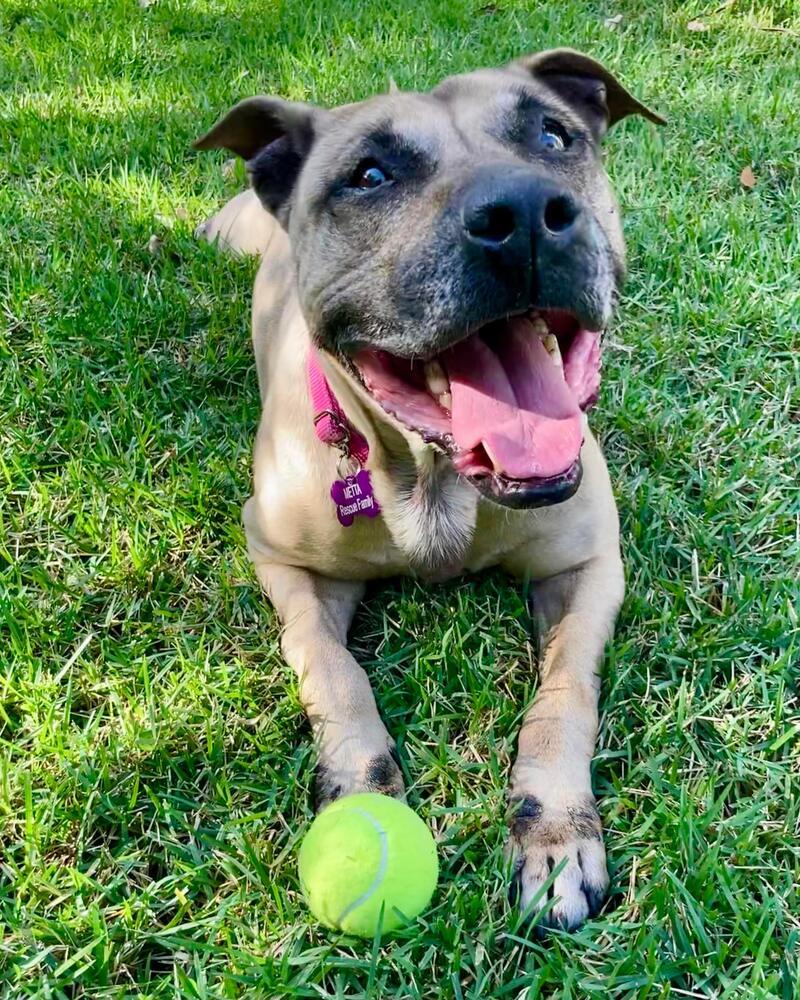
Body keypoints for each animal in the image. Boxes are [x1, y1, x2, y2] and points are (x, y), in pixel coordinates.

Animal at [194, 50, 664, 932]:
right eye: (369, 175)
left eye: (554, 135)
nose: (523, 213)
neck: (437, 481)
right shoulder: (282, 561)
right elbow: (330, 667)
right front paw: (358, 791)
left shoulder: (588, 567)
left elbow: (563, 698)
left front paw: (555, 831)